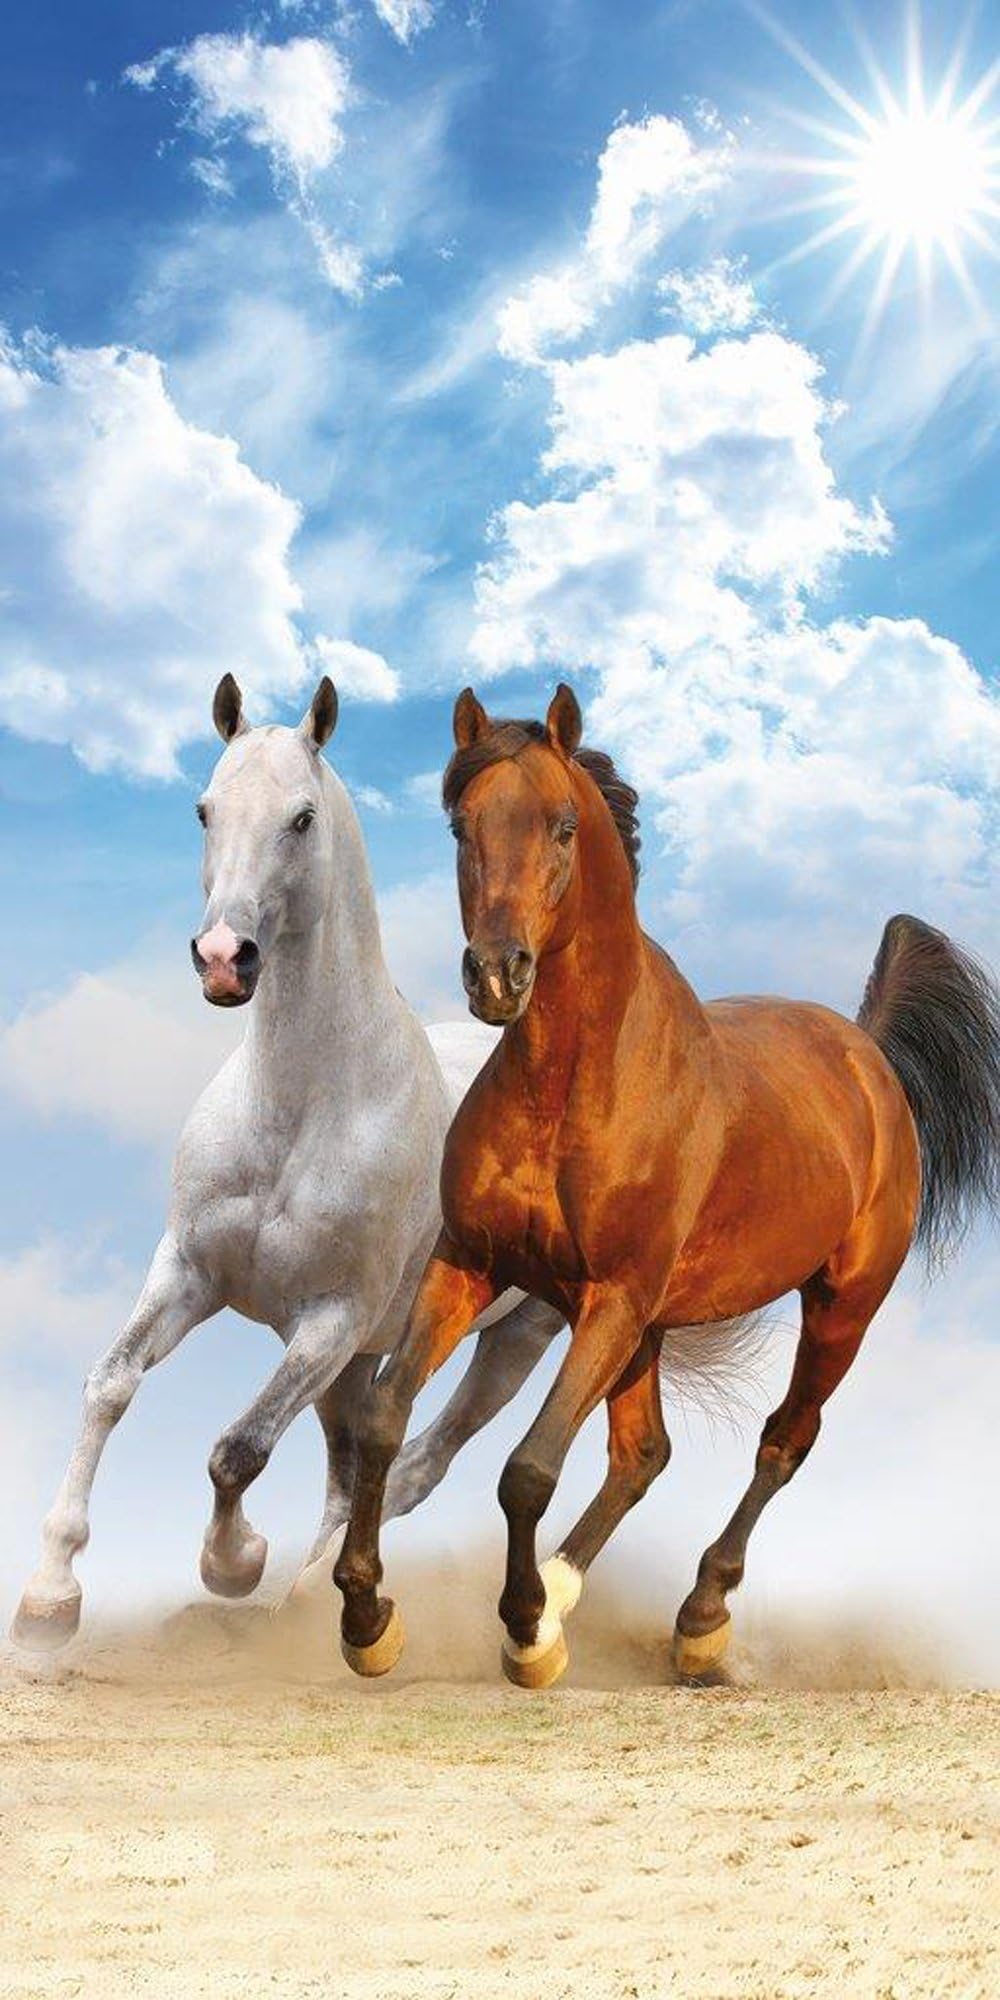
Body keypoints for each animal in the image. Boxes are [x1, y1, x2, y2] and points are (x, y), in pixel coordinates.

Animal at [12, 674, 562, 1651]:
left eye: (301, 819)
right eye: (204, 809)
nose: (224, 959)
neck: (299, 1111)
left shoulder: (330, 1321)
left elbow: (239, 1448)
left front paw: (233, 1564)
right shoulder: (188, 1273)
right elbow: (111, 1383)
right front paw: (50, 1594)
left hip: (507, 1337)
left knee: (415, 1462)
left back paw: (318, 1603)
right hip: (359, 1364)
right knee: (354, 1470)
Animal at [334, 681, 1000, 1687]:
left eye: (564, 826)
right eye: (459, 823)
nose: (496, 975)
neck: (570, 1088)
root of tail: (868, 1053)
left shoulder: (610, 1295)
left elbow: (527, 1468)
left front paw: (522, 1633)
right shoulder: (473, 1266)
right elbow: (382, 1415)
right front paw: (369, 1618)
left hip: (837, 1306)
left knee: (781, 1441)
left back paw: (698, 1620)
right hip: (648, 1325)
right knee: (642, 1453)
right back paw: (570, 1597)